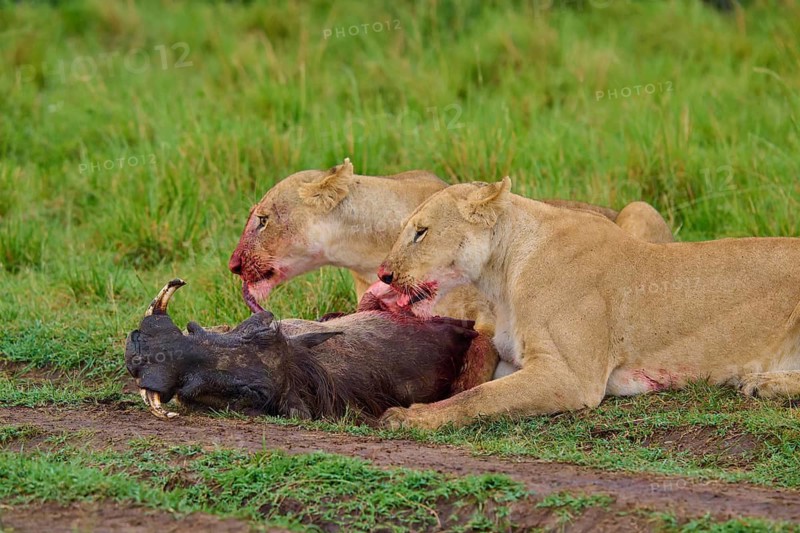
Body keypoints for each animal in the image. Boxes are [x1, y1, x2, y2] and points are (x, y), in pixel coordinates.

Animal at [228, 158, 674, 385]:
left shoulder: (487, 322)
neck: (366, 249)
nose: (232, 266)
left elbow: (471, 374)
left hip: (639, 209)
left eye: (263, 220)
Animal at [377, 177, 800, 430]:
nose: (384, 274)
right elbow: (475, 385)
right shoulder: (516, 361)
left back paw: (762, 383)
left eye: (420, 232)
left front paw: (409, 418)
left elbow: (478, 397)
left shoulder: (571, 377)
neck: (501, 275)